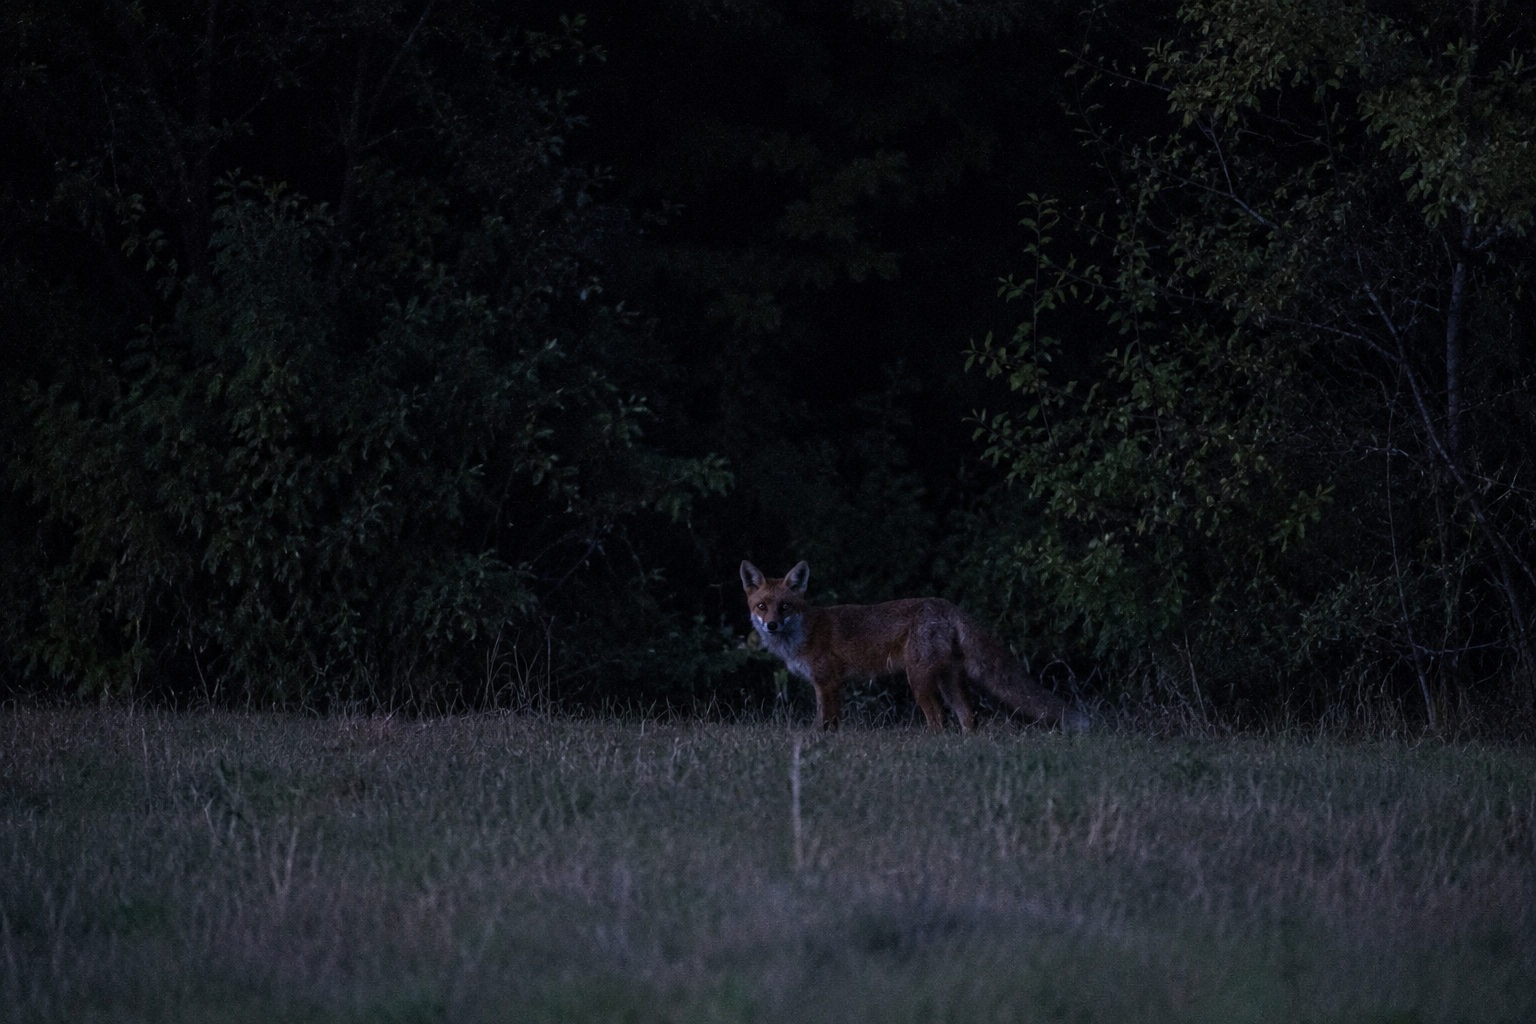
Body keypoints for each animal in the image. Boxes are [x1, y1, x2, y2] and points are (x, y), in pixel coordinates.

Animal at [741, 560, 1089, 733]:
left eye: (785, 606)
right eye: (762, 607)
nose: (771, 625)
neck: (806, 631)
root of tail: (946, 605)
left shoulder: (828, 682)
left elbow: (825, 724)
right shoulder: (826, 684)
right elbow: (824, 722)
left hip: (919, 679)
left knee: (938, 721)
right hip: (948, 680)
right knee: (969, 719)